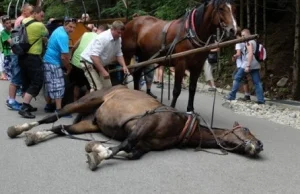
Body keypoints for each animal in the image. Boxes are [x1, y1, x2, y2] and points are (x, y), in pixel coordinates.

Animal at [7, 85, 262, 171]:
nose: (259, 145)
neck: (182, 125)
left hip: (88, 121)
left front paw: (96, 149)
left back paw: (35, 136)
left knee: (61, 128)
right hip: (85, 102)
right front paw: (97, 154)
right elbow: (123, 145)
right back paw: (20, 128)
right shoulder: (143, 125)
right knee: (53, 116)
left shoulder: (146, 145)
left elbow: (131, 153)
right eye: (247, 130)